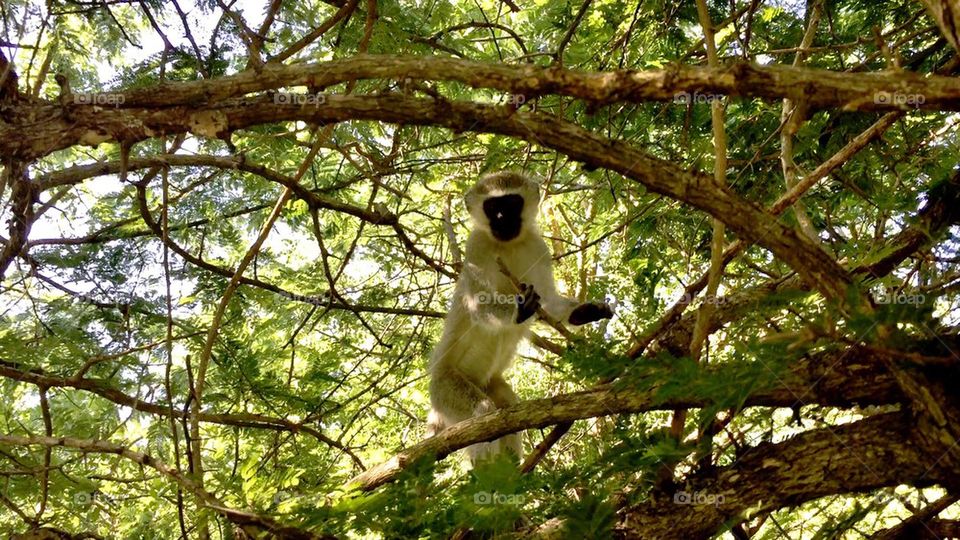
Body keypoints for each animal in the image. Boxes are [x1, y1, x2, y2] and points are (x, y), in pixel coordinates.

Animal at [426, 171, 614, 465]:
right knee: (482, 415)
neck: (509, 244)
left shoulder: (539, 248)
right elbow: (477, 304)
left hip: (491, 384)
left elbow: (549, 299)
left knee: (506, 411)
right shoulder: (476, 247)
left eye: (512, 203)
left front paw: (585, 311)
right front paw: (520, 310)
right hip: (445, 388)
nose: (503, 218)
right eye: (493, 206)